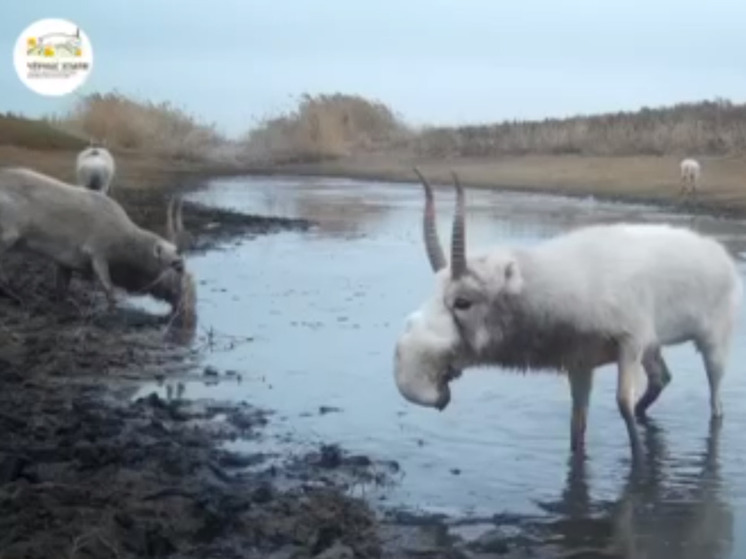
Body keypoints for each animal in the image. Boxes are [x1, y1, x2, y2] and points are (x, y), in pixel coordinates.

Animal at [392, 171, 740, 460]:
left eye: (462, 301)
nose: (434, 388)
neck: (563, 284)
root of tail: (719, 254)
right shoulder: (580, 360)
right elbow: (578, 423)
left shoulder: (629, 343)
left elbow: (622, 404)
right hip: (652, 347)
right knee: (661, 379)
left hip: (712, 342)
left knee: (716, 401)